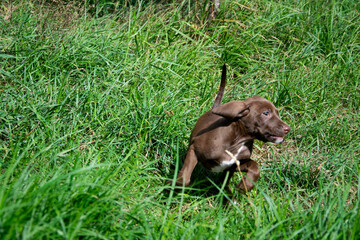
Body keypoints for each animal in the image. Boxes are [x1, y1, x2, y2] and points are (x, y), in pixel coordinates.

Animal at [172, 64, 290, 196]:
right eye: (266, 113)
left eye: (277, 113)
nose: (288, 129)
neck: (237, 141)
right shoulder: (194, 149)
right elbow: (184, 179)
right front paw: (170, 190)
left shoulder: (235, 165)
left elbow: (255, 166)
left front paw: (245, 186)